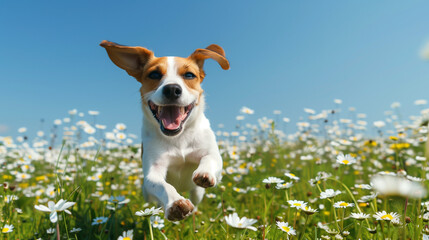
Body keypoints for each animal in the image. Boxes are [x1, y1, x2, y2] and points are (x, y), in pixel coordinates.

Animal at [100, 40, 229, 220]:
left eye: (189, 75)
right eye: (154, 74)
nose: (172, 89)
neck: (179, 138)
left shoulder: (211, 153)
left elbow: (210, 159)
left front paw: (204, 173)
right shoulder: (153, 171)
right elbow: (162, 185)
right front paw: (176, 203)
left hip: (197, 193)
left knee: (195, 197)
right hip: (146, 193)